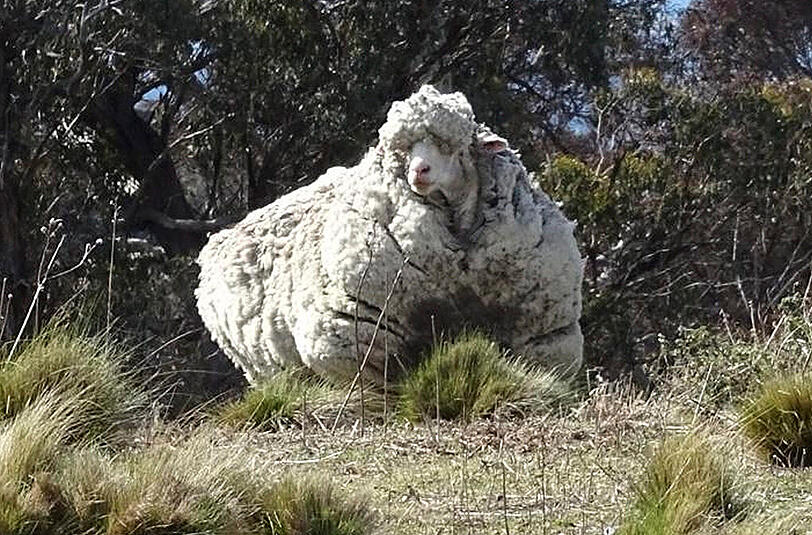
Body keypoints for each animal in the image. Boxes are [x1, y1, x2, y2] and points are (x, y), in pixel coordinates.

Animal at [196, 85, 583, 385]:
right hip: (265, 368)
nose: (419, 171)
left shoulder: (543, 335)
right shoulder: (359, 338)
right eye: (402, 150)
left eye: (453, 146)